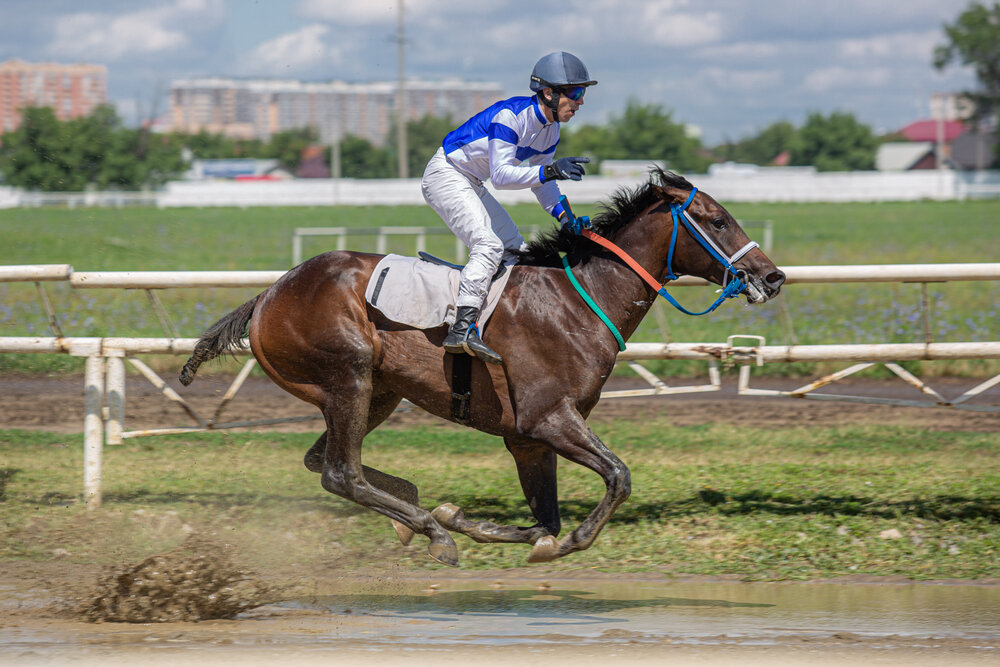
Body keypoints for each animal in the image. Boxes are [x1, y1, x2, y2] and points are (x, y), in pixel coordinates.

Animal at [182, 170, 788, 568]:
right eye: (718, 220)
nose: (773, 276)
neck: (579, 300)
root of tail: (267, 296)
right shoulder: (547, 419)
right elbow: (617, 477)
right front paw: (558, 544)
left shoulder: (528, 438)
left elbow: (545, 519)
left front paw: (470, 520)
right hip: (347, 377)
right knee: (340, 472)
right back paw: (429, 530)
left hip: (378, 391)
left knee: (322, 461)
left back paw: (413, 511)